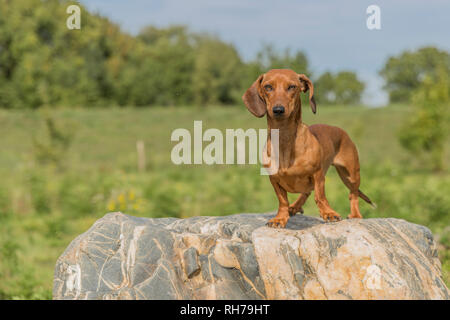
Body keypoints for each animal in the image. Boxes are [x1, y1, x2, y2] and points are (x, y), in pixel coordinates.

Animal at [241, 69, 374, 228]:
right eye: (268, 87)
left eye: (292, 87)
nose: (278, 110)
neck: (285, 139)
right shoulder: (274, 179)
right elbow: (282, 200)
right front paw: (280, 218)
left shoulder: (318, 175)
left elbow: (320, 196)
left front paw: (328, 213)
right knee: (306, 192)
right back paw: (295, 206)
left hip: (352, 174)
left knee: (352, 194)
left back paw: (355, 215)